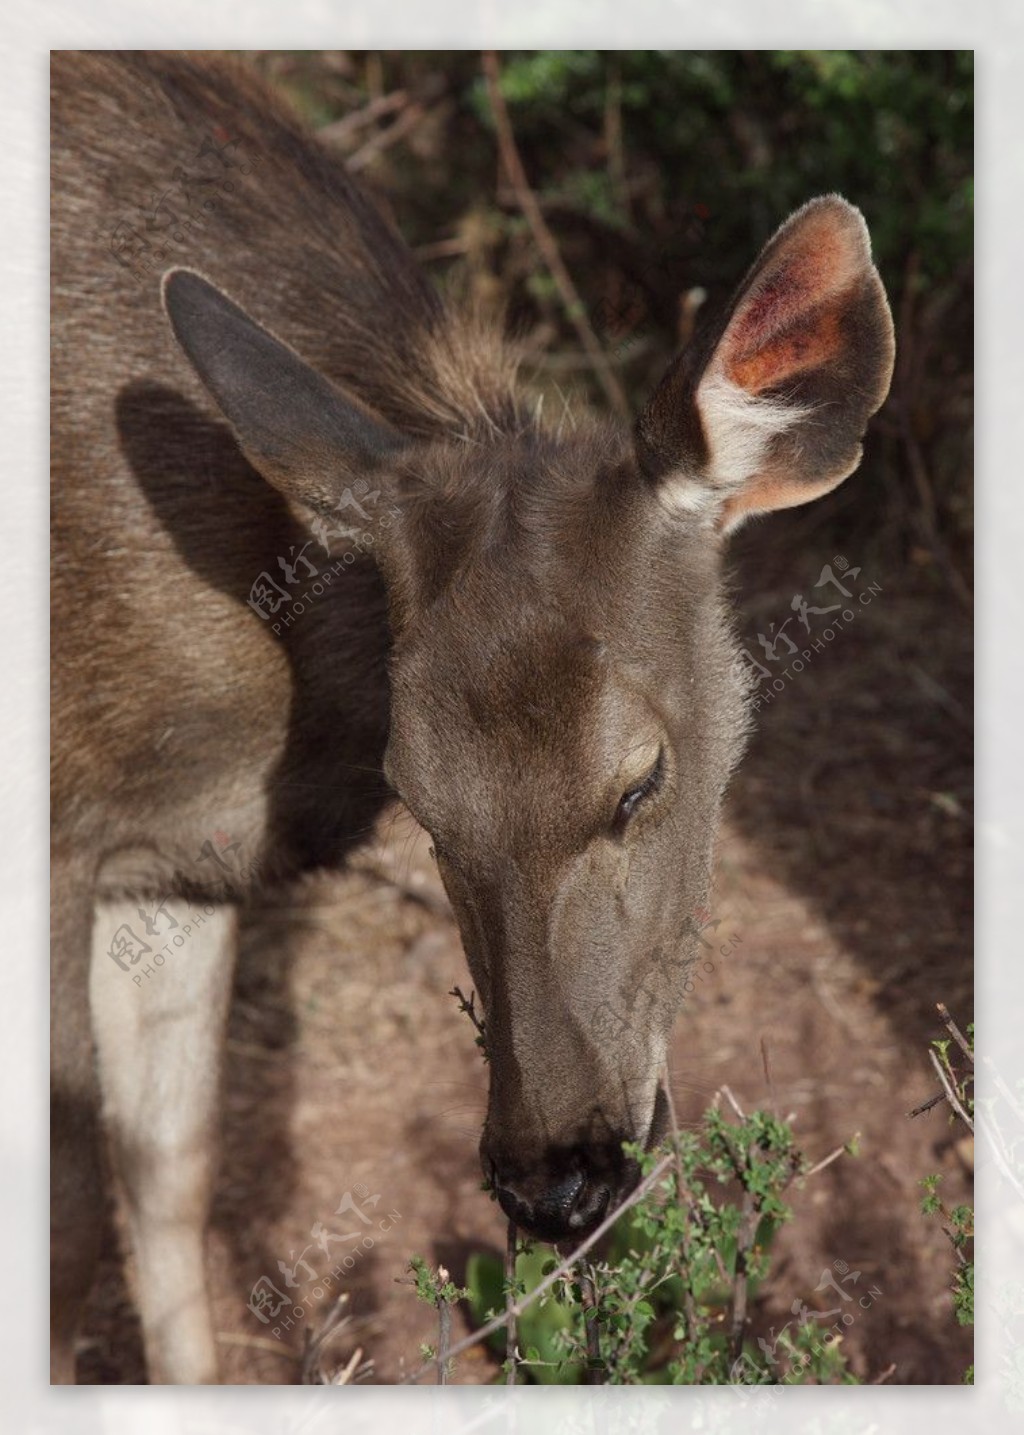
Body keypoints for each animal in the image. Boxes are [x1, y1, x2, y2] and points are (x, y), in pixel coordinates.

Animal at [51, 50, 889, 1383]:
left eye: (641, 780)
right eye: (421, 801)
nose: (556, 1179)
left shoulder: (175, 864)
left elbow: (169, 1169)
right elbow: (70, 1218)